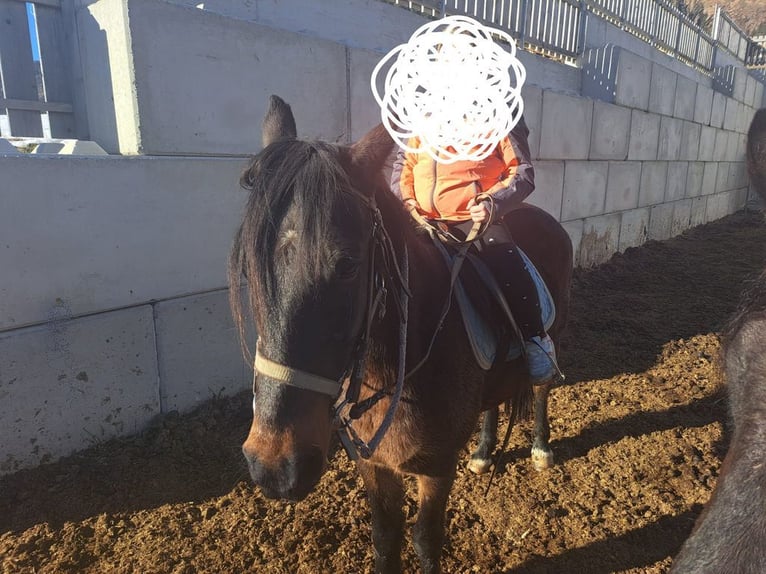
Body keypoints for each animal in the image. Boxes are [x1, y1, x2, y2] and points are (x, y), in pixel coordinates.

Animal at [231, 97, 572, 572]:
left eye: (348, 265)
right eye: (249, 267)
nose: (275, 465)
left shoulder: (437, 468)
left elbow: (426, 540)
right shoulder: (374, 464)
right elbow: (385, 538)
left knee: (540, 388)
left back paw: (541, 448)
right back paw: (483, 453)